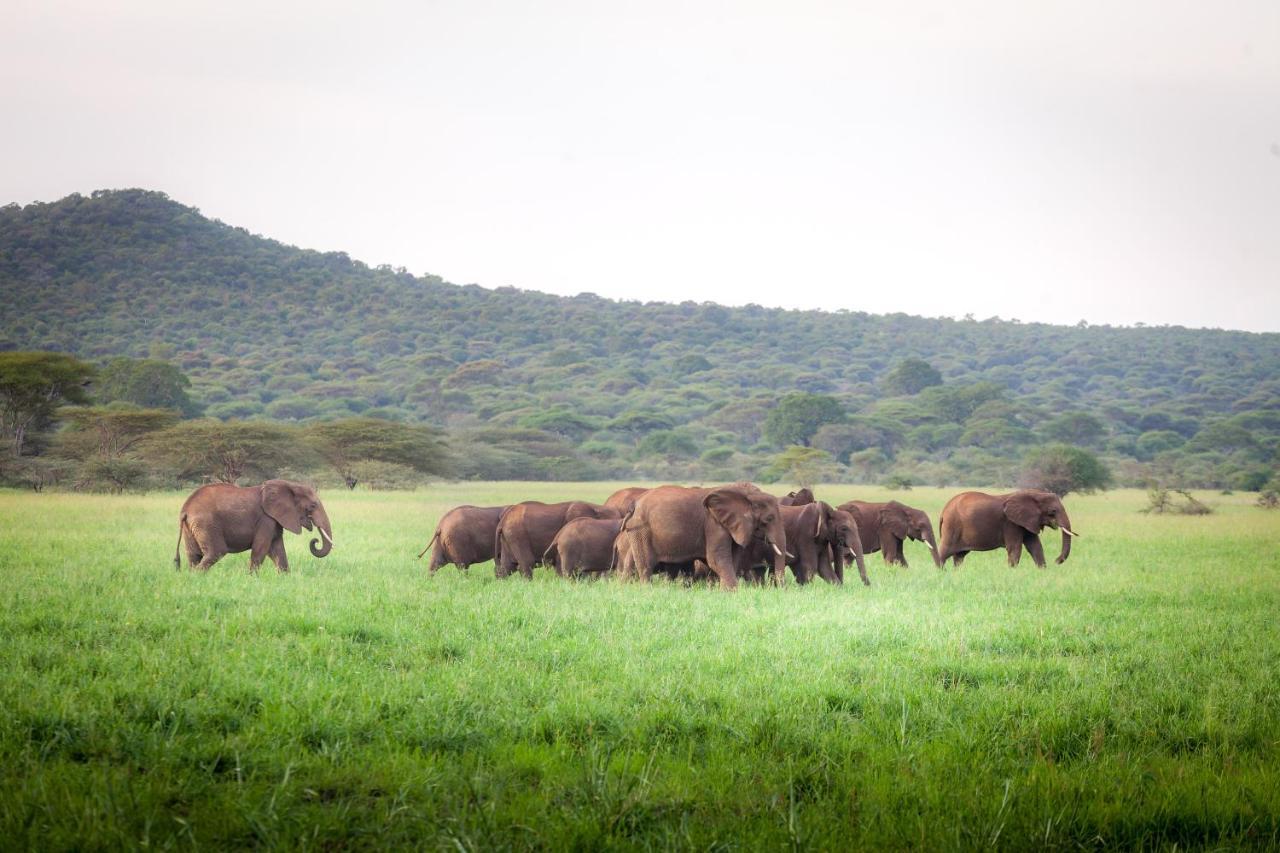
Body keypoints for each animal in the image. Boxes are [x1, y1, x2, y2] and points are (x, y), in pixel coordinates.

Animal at [175, 479, 335, 571]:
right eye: (313, 506)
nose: (315, 540)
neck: (290, 485)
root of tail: (185, 510)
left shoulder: (274, 519)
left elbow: (277, 549)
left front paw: (284, 577)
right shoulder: (266, 519)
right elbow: (261, 548)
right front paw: (252, 578)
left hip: (191, 527)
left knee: (193, 555)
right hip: (206, 523)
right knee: (216, 552)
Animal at [491, 499, 622, 578]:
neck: (597, 508)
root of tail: (502, 521)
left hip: (508, 537)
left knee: (507, 567)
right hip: (517, 535)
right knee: (526, 563)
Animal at [614, 481, 783, 589]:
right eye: (769, 519)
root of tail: (634, 505)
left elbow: (732, 558)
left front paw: (724, 591)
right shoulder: (713, 525)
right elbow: (717, 559)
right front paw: (732, 592)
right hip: (641, 529)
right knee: (646, 565)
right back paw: (647, 591)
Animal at [936, 489, 1075, 568]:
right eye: (1052, 511)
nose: (1056, 560)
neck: (1034, 494)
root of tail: (943, 510)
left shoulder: (1026, 522)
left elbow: (1035, 546)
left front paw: (1042, 570)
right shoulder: (1011, 523)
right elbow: (1015, 548)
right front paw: (1013, 572)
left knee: (959, 556)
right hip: (952, 526)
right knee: (944, 552)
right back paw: (940, 572)